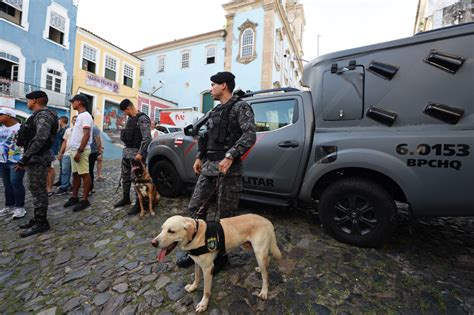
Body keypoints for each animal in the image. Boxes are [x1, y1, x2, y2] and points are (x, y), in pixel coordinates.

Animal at [152, 215, 282, 314]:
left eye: (171, 231)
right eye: (162, 229)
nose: (153, 242)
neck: (196, 234)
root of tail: (266, 220)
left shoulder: (208, 268)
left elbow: (206, 290)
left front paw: (203, 304)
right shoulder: (198, 263)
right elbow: (197, 277)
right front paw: (193, 287)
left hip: (259, 252)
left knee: (266, 275)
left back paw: (264, 291)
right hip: (251, 247)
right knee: (267, 260)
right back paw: (260, 268)